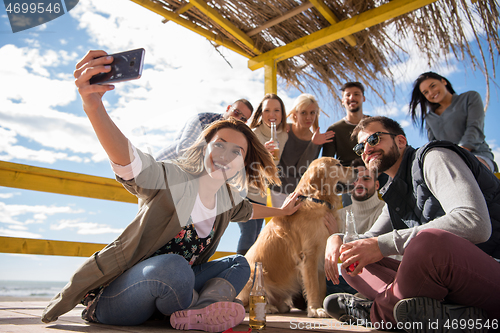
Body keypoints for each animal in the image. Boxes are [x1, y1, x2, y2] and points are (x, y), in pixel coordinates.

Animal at [237, 157, 358, 318]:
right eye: (338, 165)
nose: (358, 169)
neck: (316, 199)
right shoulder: (309, 255)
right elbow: (313, 286)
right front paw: (315, 309)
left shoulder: (321, 256)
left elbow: (322, 288)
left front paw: (320, 306)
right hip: (253, 274)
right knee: (243, 303)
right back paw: (267, 308)